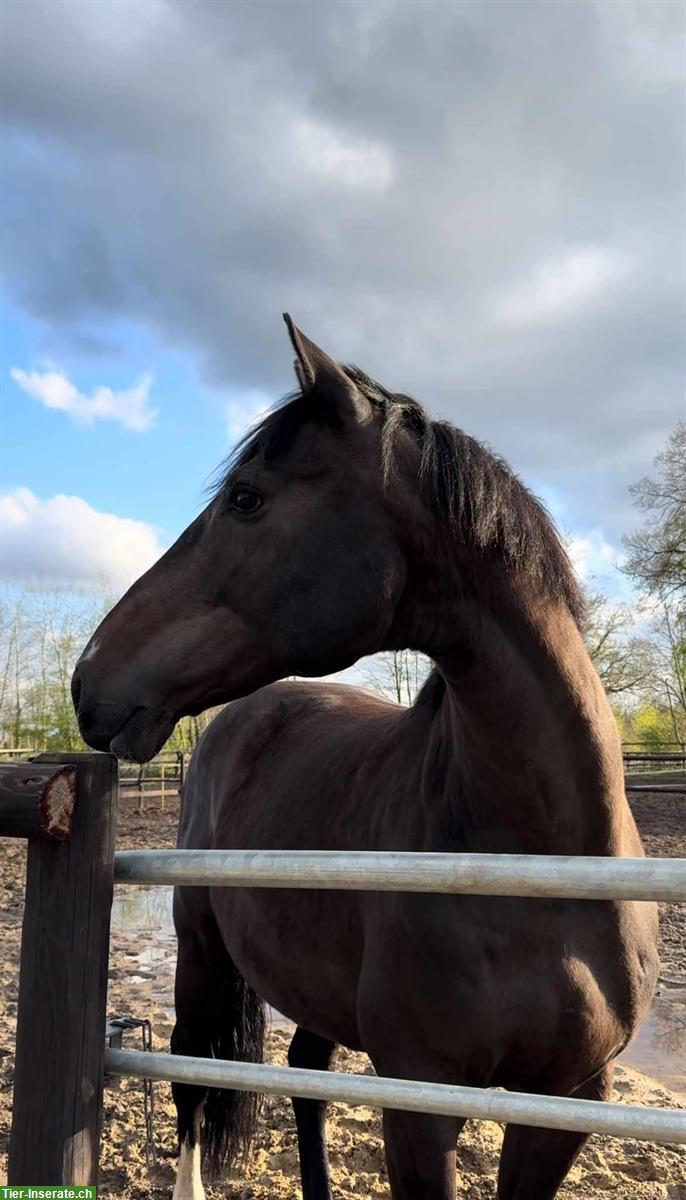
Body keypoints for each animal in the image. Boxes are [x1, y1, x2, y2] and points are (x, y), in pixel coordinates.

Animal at [73, 319, 657, 1200]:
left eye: (246, 498)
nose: (88, 678)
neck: (539, 865)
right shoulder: (421, 1101)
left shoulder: (568, 1101)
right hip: (200, 951)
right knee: (191, 1085)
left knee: (305, 1075)